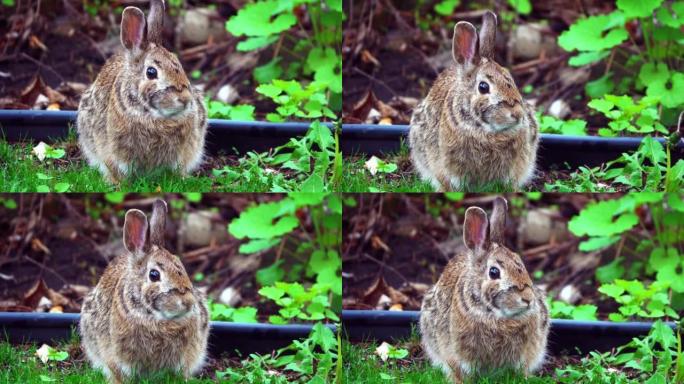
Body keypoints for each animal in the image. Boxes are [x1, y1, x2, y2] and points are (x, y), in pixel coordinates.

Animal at [76, 0, 207, 183]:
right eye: (151, 72)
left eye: (179, 65)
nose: (185, 99)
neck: (154, 117)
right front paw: (117, 183)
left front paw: (182, 178)